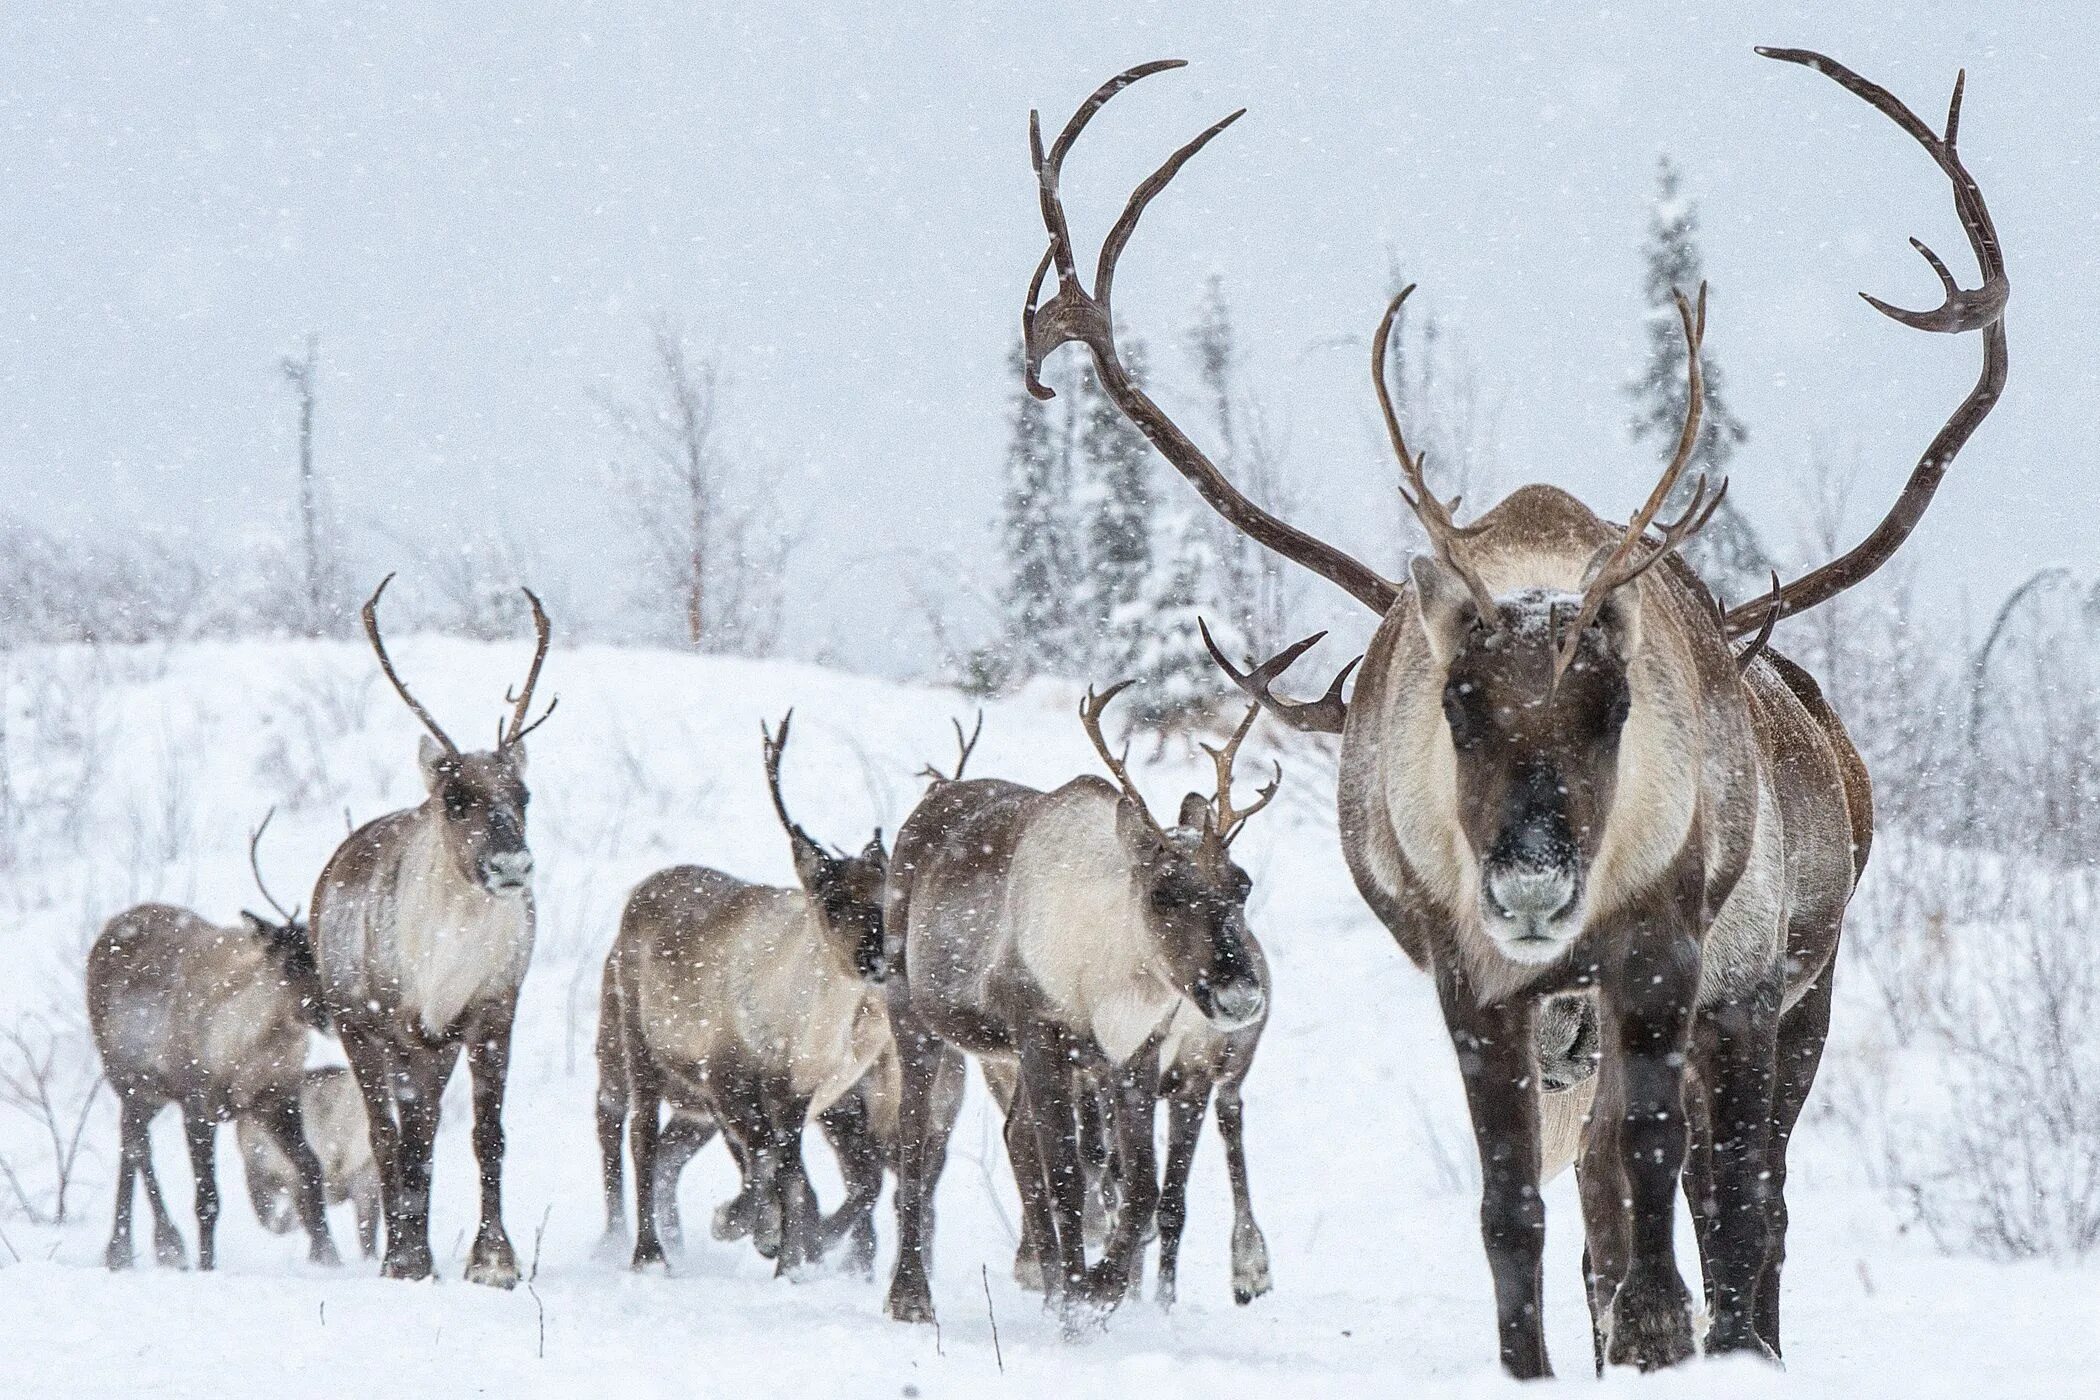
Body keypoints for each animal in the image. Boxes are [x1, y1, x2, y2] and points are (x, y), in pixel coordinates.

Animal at [87, 814, 336, 1276]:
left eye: (322, 954)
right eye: (292, 963)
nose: (331, 1014)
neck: (255, 1048)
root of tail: (109, 928)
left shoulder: (277, 1096)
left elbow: (311, 1168)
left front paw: (327, 1256)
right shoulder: (198, 1104)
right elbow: (207, 1199)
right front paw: (207, 1265)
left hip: (150, 1092)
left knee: (132, 1143)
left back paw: (135, 1249)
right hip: (126, 1078)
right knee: (137, 1145)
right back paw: (152, 1247)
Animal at [877, 684, 1268, 1334]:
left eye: (1242, 883)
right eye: (1164, 892)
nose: (1241, 995)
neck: (1112, 981)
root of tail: (927, 805)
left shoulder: (1135, 1056)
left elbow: (1140, 1188)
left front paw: (1095, 1290)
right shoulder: (1042, 1032)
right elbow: (1065, 1177)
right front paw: (1083, 1297)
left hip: (1006, 1053)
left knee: (1013, 1134)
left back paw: (1048, 1284)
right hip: (914, 1015)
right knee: (913, 1140)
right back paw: (910, 1296)